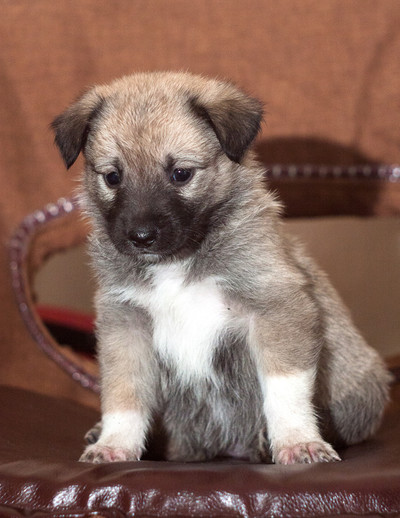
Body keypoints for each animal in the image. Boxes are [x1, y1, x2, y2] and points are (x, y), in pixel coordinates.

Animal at [52, 72, 391, 464]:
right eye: (112, 177)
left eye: (181, 174)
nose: (141, 237)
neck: (177, 263)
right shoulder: (126, 325)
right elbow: (124, 395)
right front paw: (114, 443)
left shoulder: (276, 307)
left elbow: (284, 389)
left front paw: (297, 441)